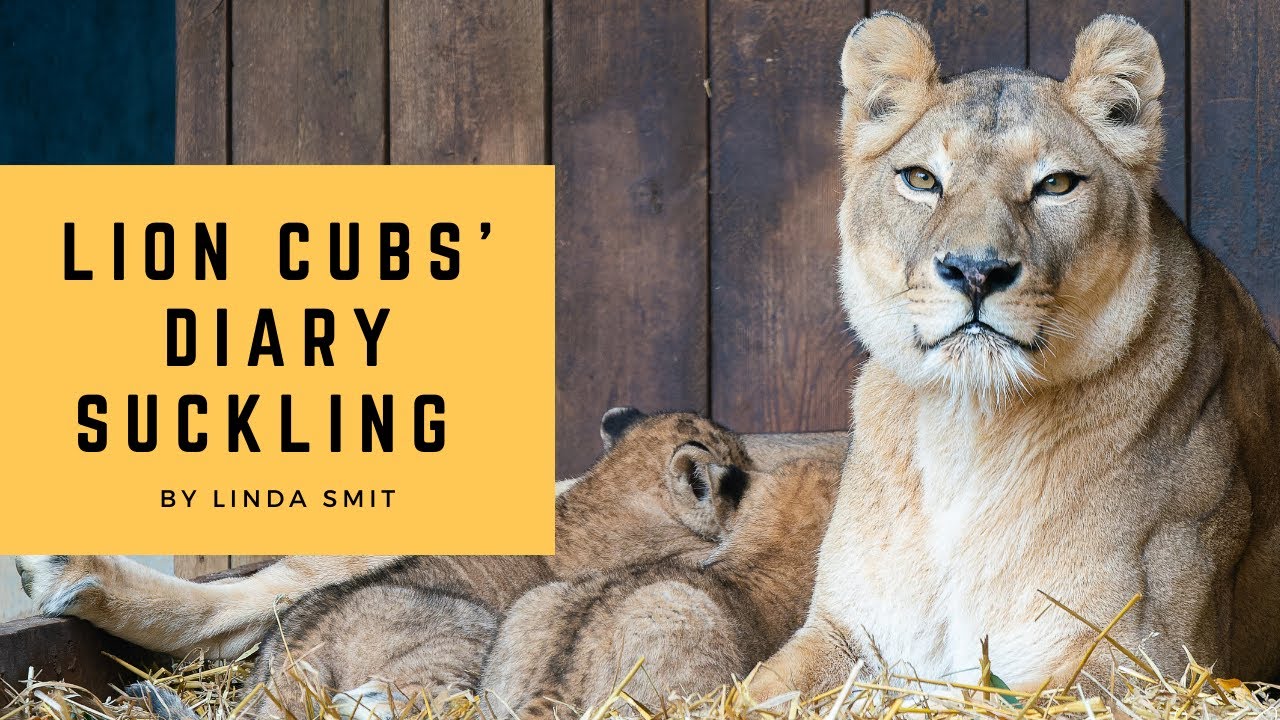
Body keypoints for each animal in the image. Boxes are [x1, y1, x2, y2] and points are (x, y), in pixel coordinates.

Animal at [753, 12, 1280, 699]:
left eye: (1055, 184)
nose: (975, 271)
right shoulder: (844, 635)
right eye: (921, 179)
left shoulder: (1152, 665)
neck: (968, 428)